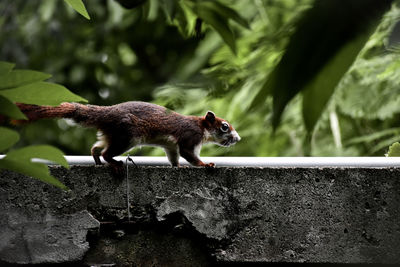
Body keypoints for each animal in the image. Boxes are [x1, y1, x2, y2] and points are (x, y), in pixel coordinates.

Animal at [15, 101, 241, 173]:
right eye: (224, 127)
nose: (237, 139)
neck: (201, 127)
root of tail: (106, 114)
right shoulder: (188, 137)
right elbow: (189, 155)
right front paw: (205, 164)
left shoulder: (170, 146)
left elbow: (173, 157)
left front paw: (177, 167)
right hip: (127, 137)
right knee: (107, 152)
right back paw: (113, 163)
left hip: (111, 135)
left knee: (96, 148)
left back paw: (98, 161)